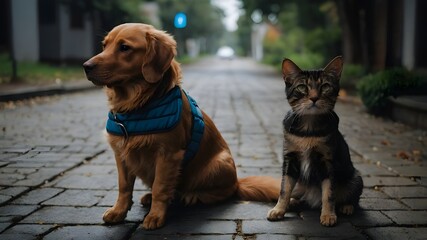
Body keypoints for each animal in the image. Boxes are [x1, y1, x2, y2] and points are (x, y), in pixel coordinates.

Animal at [83, 23, 280, 231]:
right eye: (104, 45)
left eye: (124, 47)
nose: (86, 66)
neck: (135, 108)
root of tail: (238, 182)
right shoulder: (121, 153)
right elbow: (124, 187)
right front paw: (118, 211)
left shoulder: (168, 154)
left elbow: (160, 187)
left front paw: (155, 216)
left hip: (220, 162)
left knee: (223, 192)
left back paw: (190, 196)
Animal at [270, 56, 362, 227]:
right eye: (302, 87)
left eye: (325, 86)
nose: (314, 98)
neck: (309, 129)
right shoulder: (289, 160)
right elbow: (284, 189)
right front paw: (278, 209)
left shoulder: (328, 161)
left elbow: (329, 193)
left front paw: (328, 215)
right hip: (299, 185)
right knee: (296, 195)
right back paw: (293, 202)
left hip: (355, 178)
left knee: (352, 199)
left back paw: (347, 207)